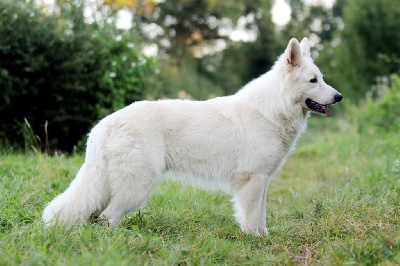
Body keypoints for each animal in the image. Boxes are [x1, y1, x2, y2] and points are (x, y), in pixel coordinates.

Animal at [44, 37, 344, 235]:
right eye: (313, 81)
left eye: (321, 78)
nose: (339, 96)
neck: (273, 108)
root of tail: (103, 126)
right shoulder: (252, 179)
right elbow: (251, 217)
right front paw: (255, 241)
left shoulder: (263, 181)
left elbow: (261, 215)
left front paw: (264, 238)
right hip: (137, 186)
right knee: (107, 217)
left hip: (114, 185)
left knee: (95, 215)